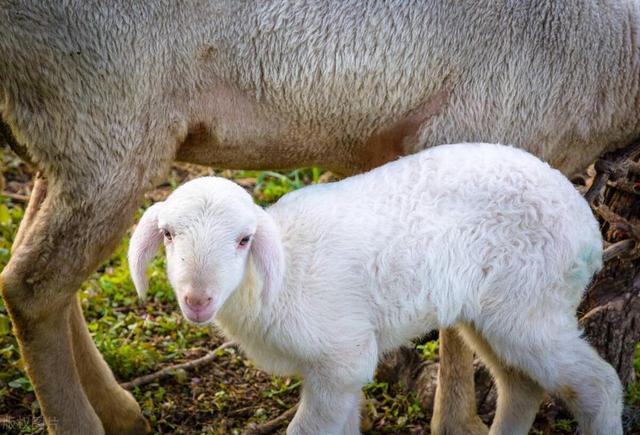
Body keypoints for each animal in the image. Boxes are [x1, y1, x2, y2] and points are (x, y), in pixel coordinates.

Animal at [127, 144, 624, 435]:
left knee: (598, 386)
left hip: (531, 300)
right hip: (492, 311)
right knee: (520, 385)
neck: (279, 275)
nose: (197, 300)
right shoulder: (340, 374)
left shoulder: (341, 359)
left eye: (244, 240)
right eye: (168, 235)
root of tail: (588, 224)